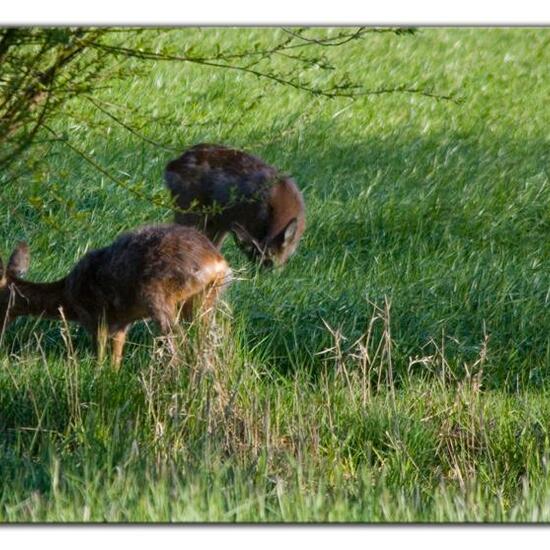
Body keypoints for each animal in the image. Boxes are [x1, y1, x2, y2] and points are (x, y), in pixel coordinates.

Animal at [0, 226, 232, 368]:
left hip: (159, 296)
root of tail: (217, 262)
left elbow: (100, 357)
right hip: (203, 300)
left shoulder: (96, 319)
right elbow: (115, 361)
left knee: (177, 342)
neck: (67, 298)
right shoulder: (120, 325)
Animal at [166, 144, 308, 270]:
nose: (263, 274)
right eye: (267, 261)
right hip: (188, 209)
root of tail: (171, 165)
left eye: (271, 261)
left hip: (216, 222)